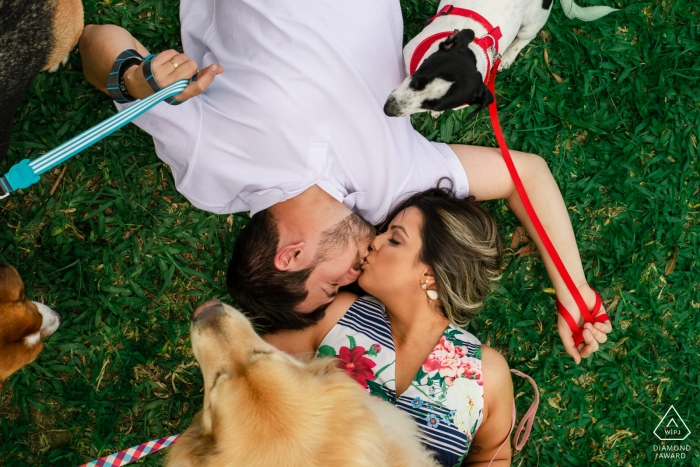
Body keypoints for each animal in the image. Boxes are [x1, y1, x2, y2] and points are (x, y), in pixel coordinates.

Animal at [382, 0, 616, 119]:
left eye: (432, 105)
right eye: (419, 79)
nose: (387, 110)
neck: (477, 46)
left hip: (532, 22)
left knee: (526, 37)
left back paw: (507, 57)